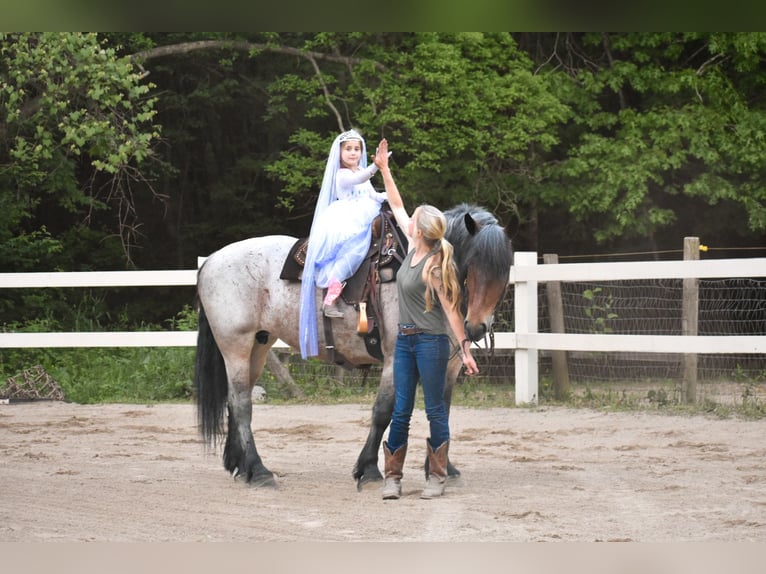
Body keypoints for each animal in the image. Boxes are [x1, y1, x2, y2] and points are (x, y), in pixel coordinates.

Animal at [195, 205, 512, 488]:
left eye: (506, 267)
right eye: (474, 261)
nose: (476, 327)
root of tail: (211, 260)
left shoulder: (447, 365)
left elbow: (441, 410)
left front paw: (443, 468)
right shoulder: (395, 358)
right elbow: (383, 411)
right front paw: (369, 470)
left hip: (259, 345)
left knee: (236, 400)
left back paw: (239, 465)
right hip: (235, 346)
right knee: (241, 403)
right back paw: (259, 471)